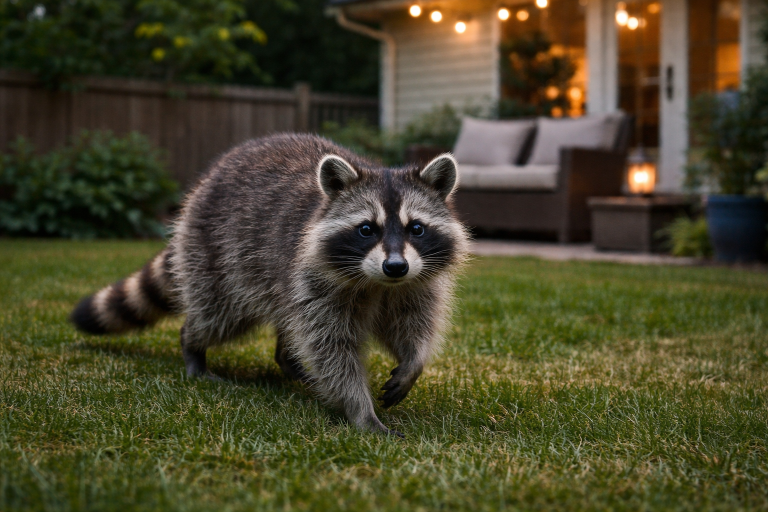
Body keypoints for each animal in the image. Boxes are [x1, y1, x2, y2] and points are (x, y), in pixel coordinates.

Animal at [71, 133, 469, 436]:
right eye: (366, 229)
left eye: (416, 228)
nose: (395, 266)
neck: (378, 284)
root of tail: (208, 179)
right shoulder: (317, 281)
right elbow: (332, 350)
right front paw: (360, 410)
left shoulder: (414, 284)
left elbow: (414, 325)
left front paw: (413, 363)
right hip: (219, 258)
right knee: (219, 316)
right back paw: (192, 346)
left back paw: (289, 363)